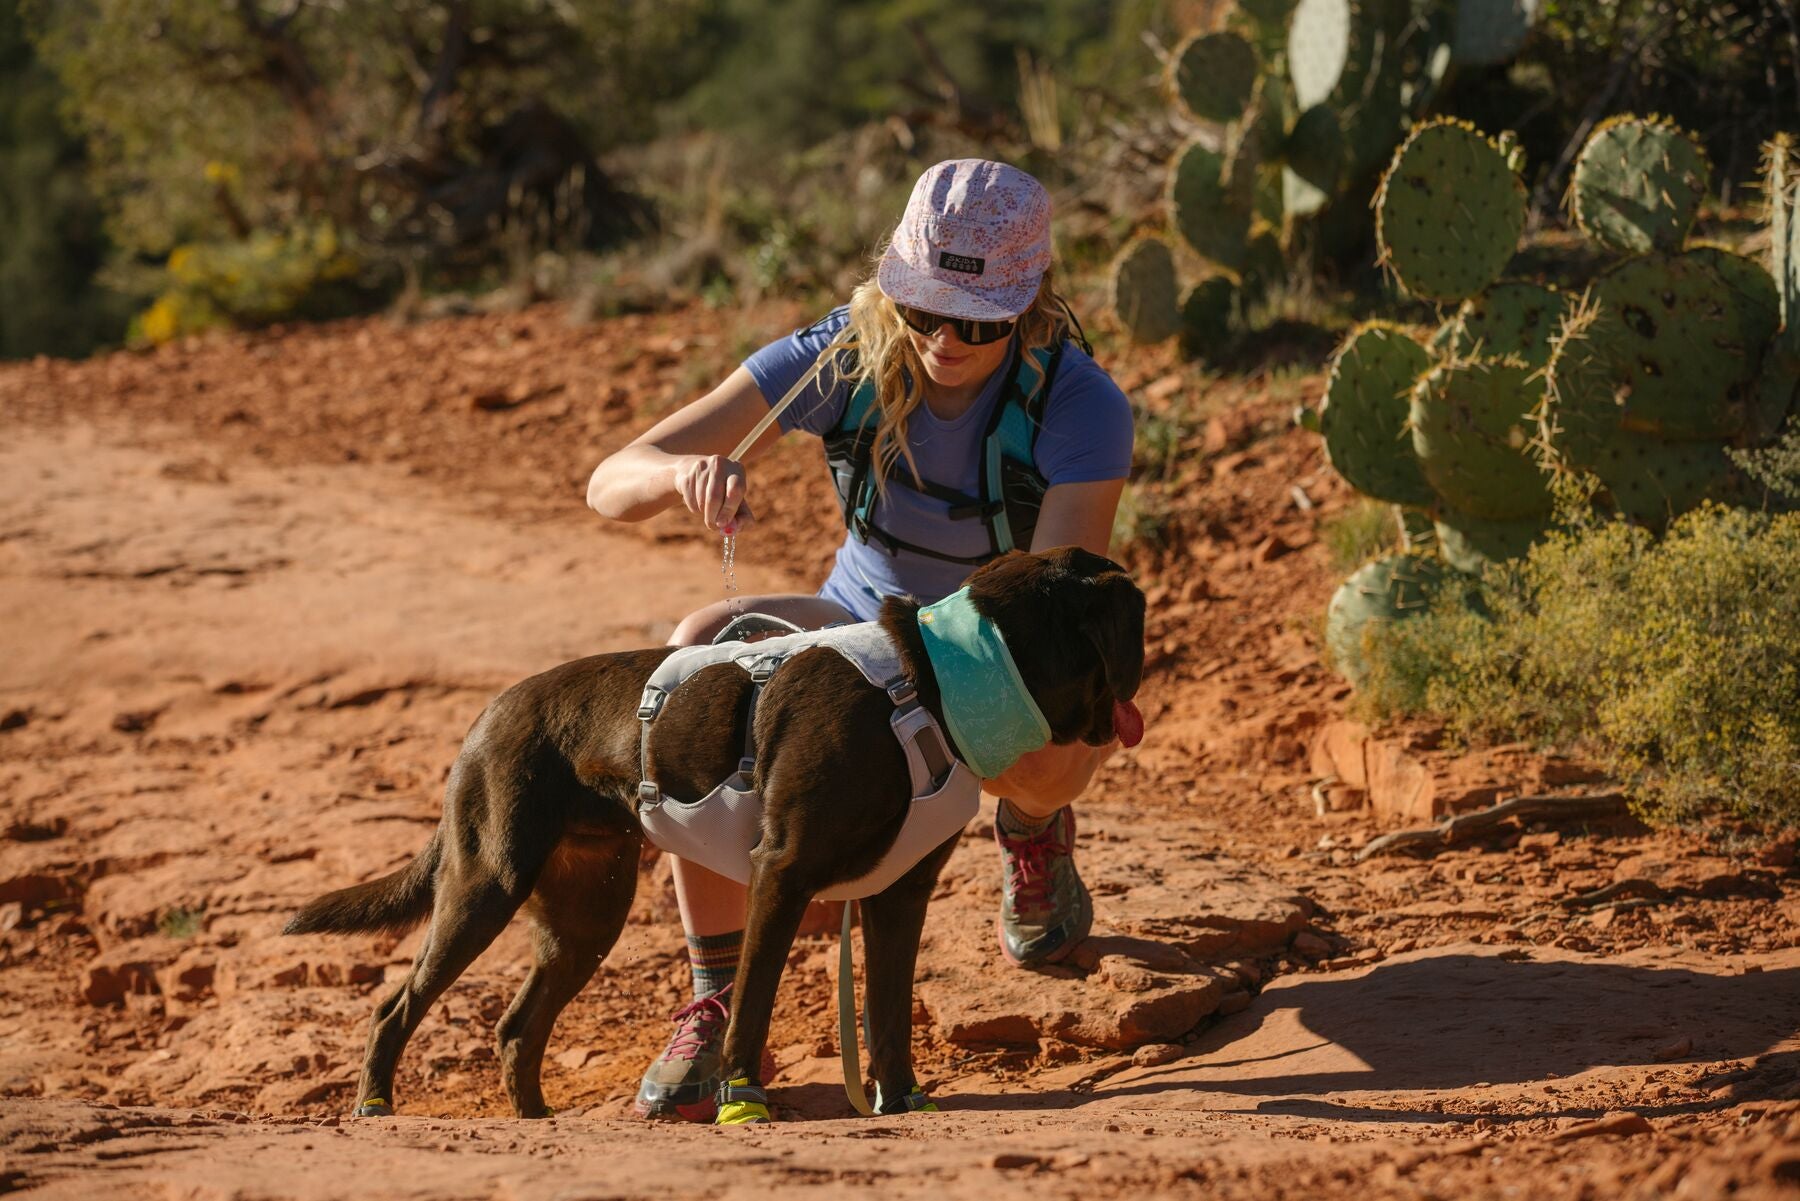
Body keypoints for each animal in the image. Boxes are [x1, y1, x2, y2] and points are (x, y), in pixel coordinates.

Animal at [288, 550, 1144, 1123]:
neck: (928, 683)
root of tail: (487, 715)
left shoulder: (899, 893)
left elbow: (891, 1010)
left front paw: (901, 1099)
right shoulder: (782, 871)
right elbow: (754, 1000)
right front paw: (742, 1099)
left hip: (587, 917)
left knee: (515, 1025)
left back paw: (534, 1118)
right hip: (486, 884)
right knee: (395, 1005)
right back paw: (374, 1103)